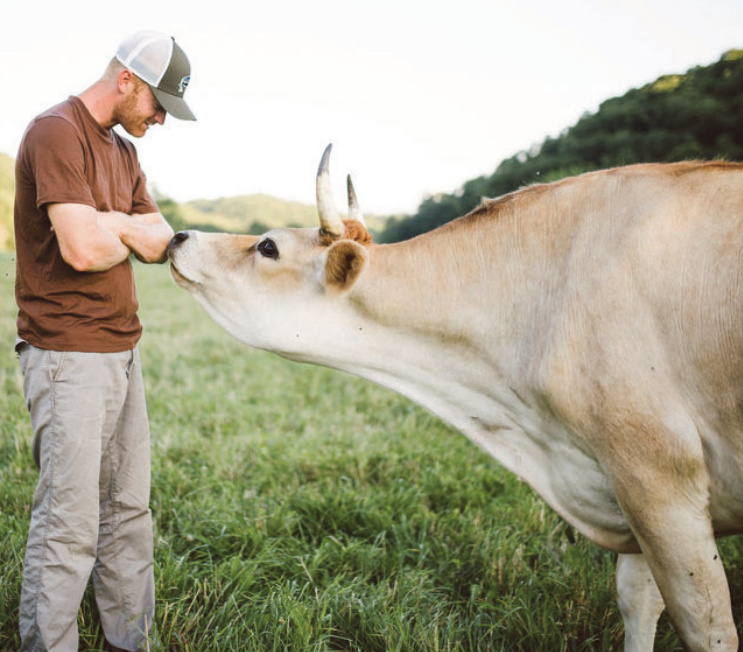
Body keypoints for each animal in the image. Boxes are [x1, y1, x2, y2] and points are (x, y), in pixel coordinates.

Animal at [167, 145, 743, 652]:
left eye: (268, 246)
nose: (178, 235)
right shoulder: (625, 490)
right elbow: (639, 602)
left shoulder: (657, 475)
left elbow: (707, 626)